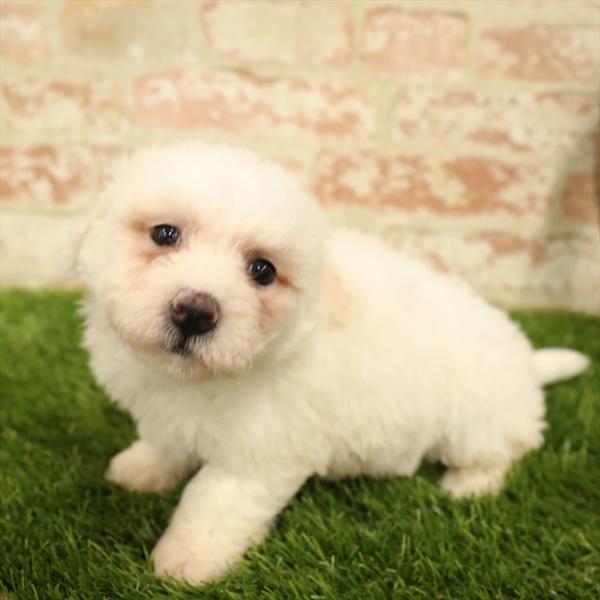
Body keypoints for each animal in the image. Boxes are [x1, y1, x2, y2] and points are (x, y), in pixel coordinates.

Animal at [77, 144, 588, 584]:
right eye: (165, 234)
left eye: (262, 270)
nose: (196, 312)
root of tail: (527, 364)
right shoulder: (171, 412)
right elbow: (166, 442)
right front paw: (142, 468)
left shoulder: (259, 452)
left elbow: (213, 502)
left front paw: (188, 559)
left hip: (478, 421)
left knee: (504, 450)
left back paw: (469, 484)